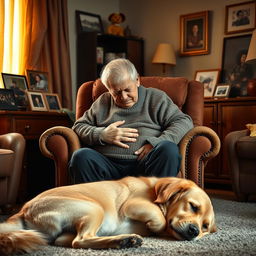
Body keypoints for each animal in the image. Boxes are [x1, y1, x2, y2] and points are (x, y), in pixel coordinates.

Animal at [0, 177, 216, 255]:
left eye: (205, 227)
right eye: (193, 206)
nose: (194, 231)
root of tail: (23, 210)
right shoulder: (132, 205)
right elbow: (160, 218)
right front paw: (157, 225)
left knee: (70, 240)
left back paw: (124, 240)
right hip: (95, 209)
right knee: (80, 241)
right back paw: (124, 240)